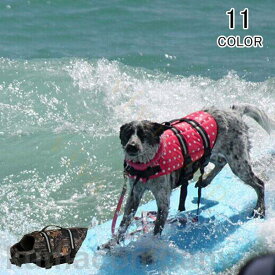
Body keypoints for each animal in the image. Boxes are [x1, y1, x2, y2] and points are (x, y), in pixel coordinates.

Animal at [103, 104, 274, 250]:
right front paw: (111, 244)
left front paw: (152, 245)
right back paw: (205, 180)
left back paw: (260, 209)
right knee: (221, 162)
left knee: (259, 184)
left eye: (143, 134)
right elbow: (123, 224)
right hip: (209, 153)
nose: (131, 147)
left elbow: (157, 229)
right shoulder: (134, 195)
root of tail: (234, 111)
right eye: (127, 134)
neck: (146, 166)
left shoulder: (163, 201)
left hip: (238, 164)